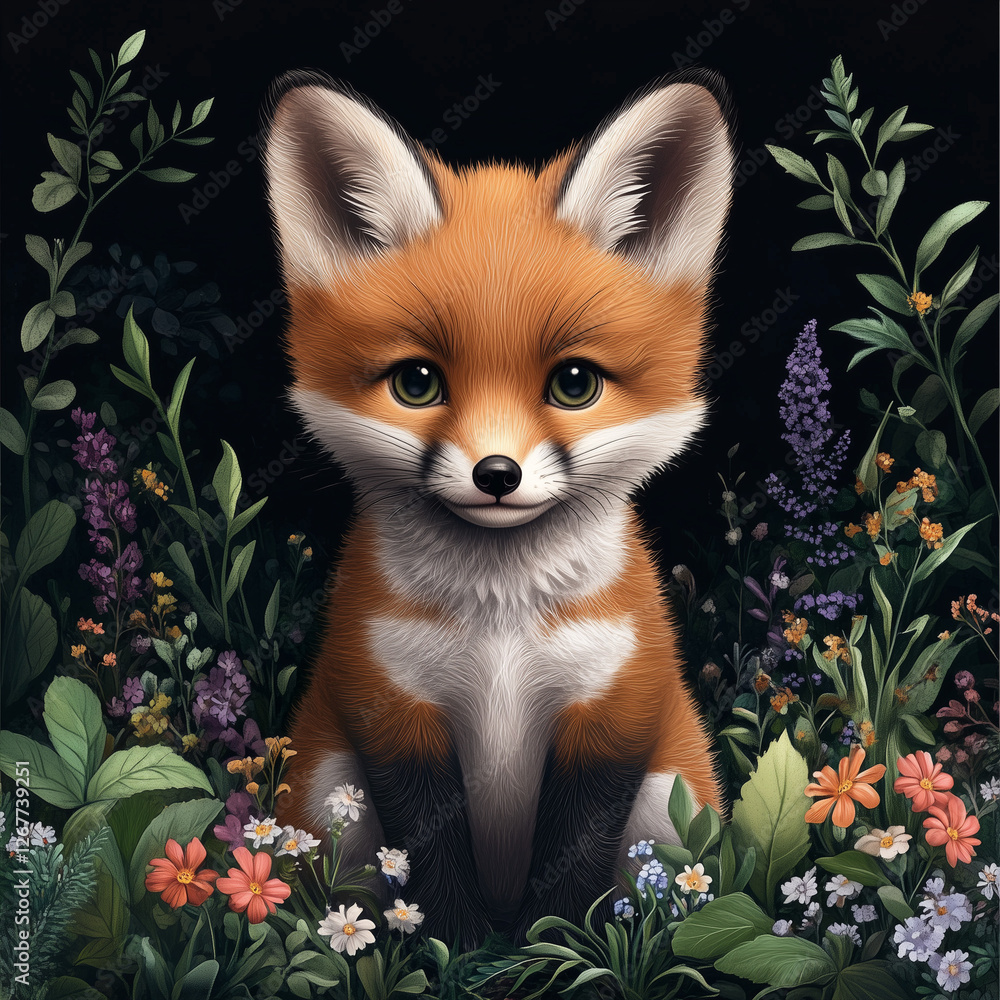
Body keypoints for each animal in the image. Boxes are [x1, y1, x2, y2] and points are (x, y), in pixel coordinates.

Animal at [263, 67, 735, 945]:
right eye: (417, 383)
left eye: (574, 383)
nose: (496, 473)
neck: (501, 627)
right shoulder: (394, 711)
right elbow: (432, 871)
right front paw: (452, 947)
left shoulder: (611, 711)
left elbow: (571, 874)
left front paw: (558, 951)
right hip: (329, 790)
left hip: (671, 795)